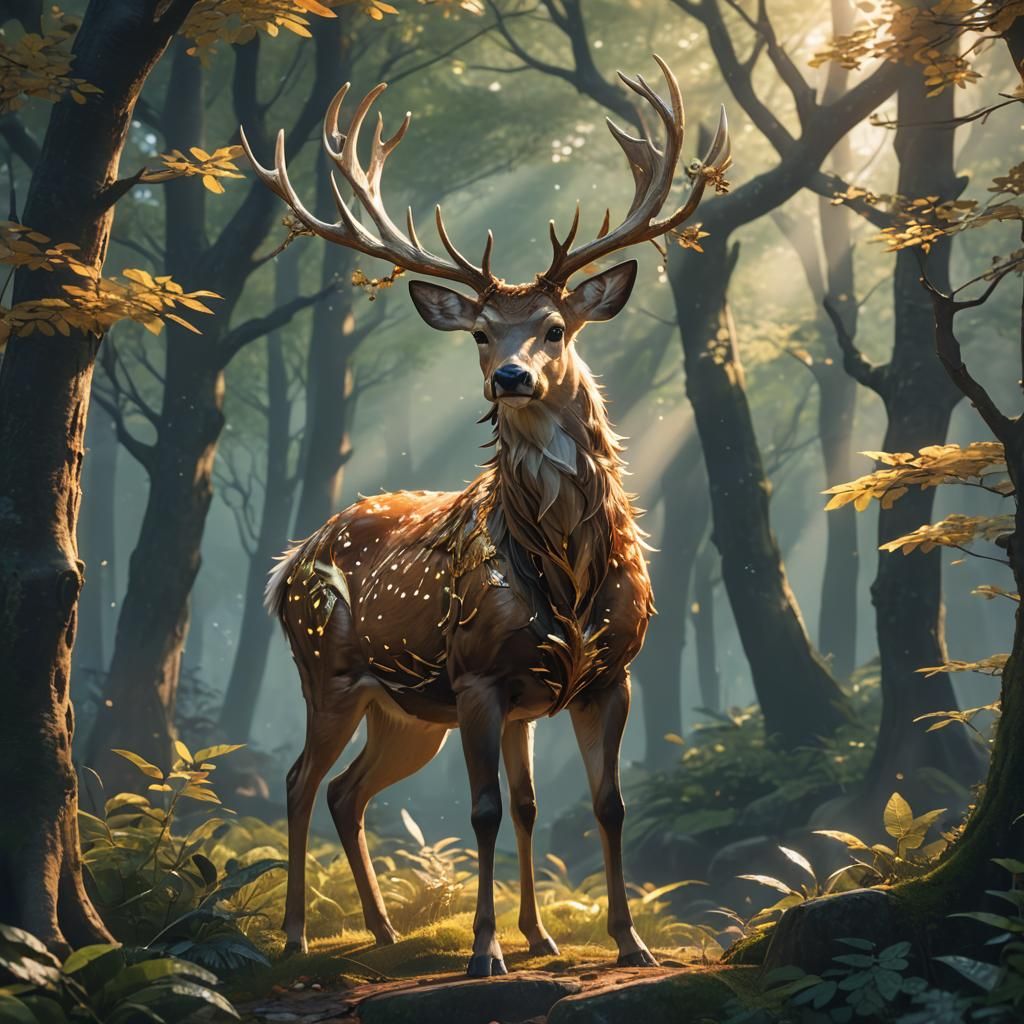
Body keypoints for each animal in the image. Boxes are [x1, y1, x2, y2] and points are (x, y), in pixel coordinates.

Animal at [242, 55, 729, 977]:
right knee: (297, 781)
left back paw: (386, 931)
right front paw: (486, 951)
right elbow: (485, 810)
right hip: (328, 670)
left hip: (404, 714)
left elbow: (591, 804)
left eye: (555, 326)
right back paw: (293, 935)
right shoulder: (477, 674)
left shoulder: (603, 675)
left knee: (347, 791)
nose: (510, 377)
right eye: (477, 333)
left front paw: (611, 940)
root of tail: (289, 561)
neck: (565, 571)